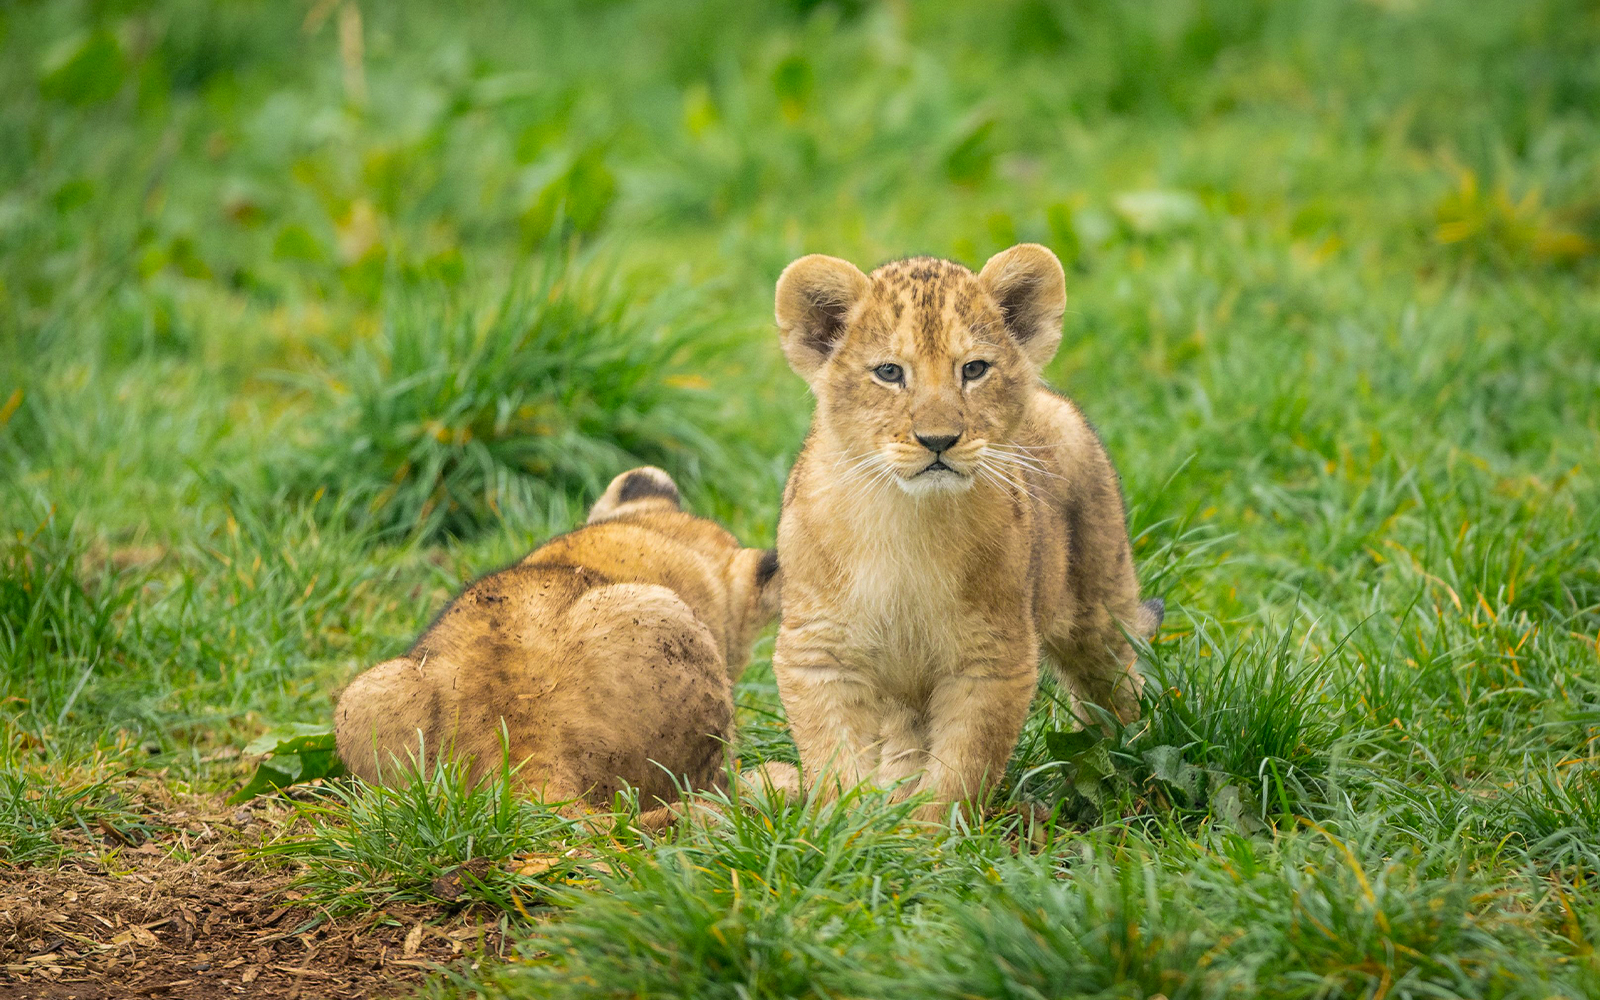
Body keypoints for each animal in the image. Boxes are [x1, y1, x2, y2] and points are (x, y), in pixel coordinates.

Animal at [769, 243, 1163, 820]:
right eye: (889, 372)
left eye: (974, 369)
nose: (938, 440)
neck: (907, 522)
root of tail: (1055, 400)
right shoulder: (820, 650)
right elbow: (836, 759)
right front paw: (857, 828)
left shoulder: (992, 656)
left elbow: (962, 767)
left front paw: (927, 836)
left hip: (1099, 606)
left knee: (1116, 682)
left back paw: (1128, 765)